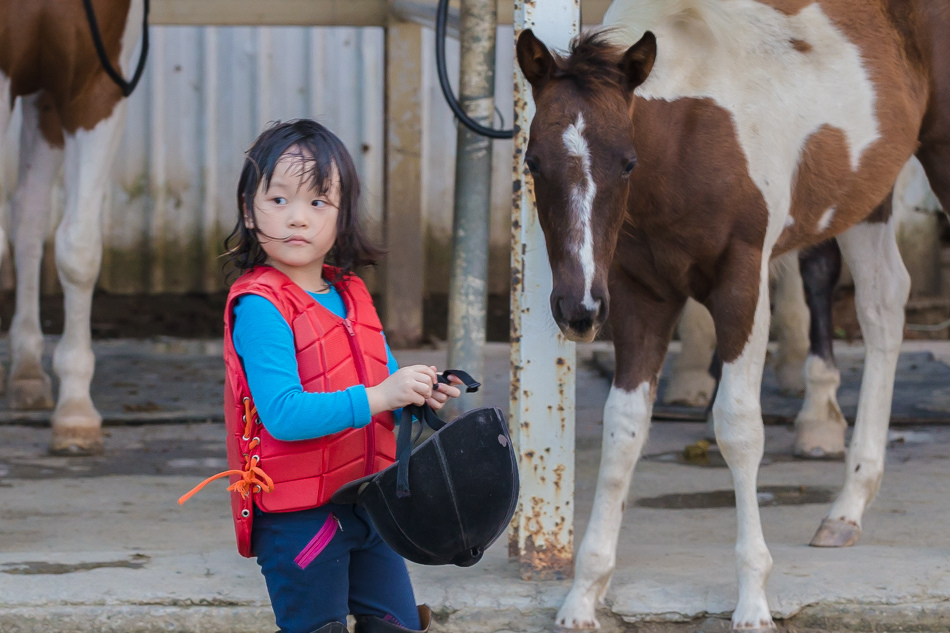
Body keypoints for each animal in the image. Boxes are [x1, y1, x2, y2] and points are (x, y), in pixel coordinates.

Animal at [0, 1, 146, 454]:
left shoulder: (97, 84)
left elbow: (78, 248)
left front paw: (76, 412)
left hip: (44, 95)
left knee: (28, 214)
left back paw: (27, 370)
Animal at [520, 1, 950, 628]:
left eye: (626, 164)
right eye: (533, 162)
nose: (578, 310)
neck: (687, 134)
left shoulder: (741, 286)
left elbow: (740, 428)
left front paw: (753, 600)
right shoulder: (637, 297)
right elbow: (624, 427)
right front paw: (583, 593)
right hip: (867, 188)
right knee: (882, 302)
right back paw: (846, 509)